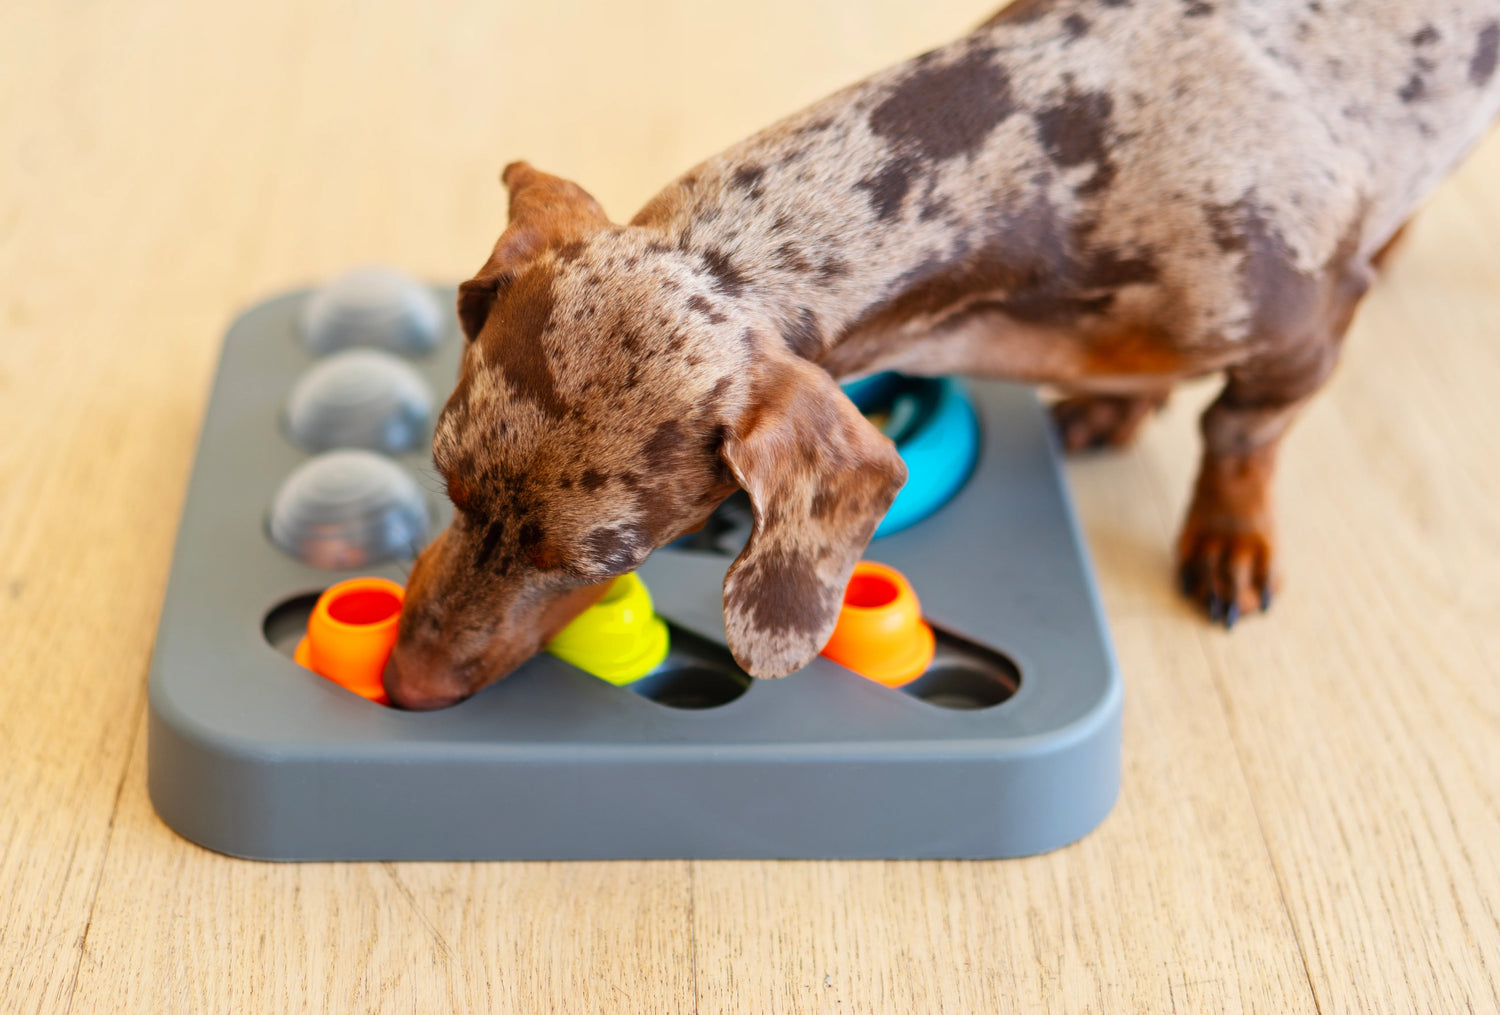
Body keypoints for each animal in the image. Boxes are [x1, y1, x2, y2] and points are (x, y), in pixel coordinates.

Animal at [381, 0, 1500, 707]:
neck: (1063, 143)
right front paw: (1125, 397)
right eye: (448, 483)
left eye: (599, 562)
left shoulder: (1301, 334)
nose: (402, 684)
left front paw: (1230, 534)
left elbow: (1241, 435)